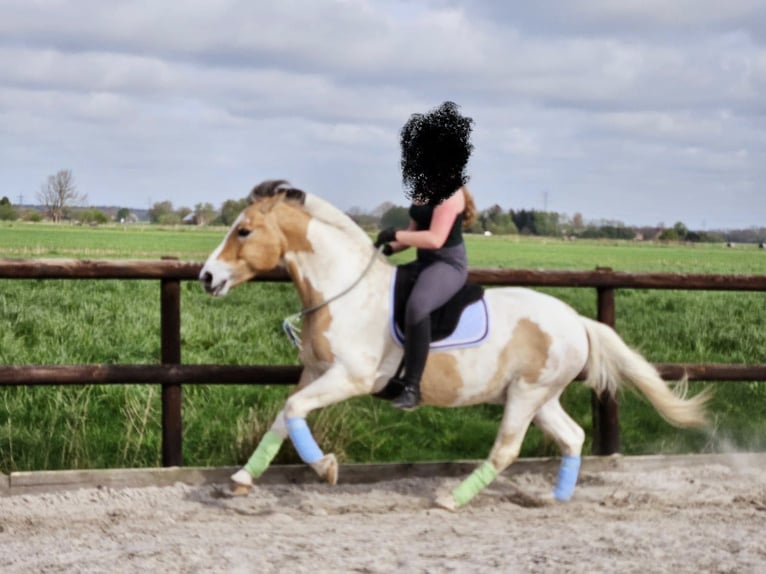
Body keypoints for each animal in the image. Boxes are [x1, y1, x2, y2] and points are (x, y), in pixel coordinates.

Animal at [199, 179, 710, 510]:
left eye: (243, 231)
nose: (206, 277)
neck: (342, 290)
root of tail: (578, 321)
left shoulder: (350, 378)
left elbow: (293, 411)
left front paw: (325, 468)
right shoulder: (316, 373)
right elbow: (284, 417)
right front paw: (242, 479)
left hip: (526, 396)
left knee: (506, 450)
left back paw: (452, 498)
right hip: (540, 396)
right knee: (572, 436)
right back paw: (553, 497)